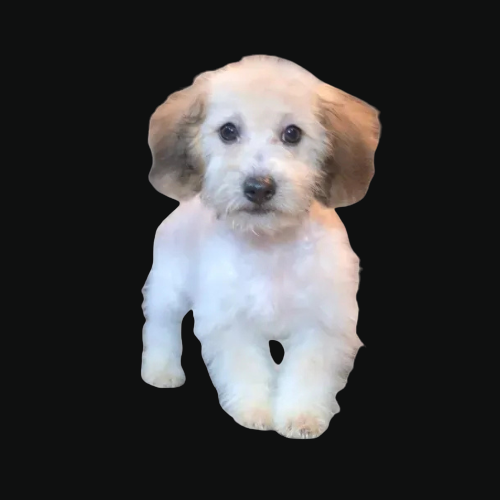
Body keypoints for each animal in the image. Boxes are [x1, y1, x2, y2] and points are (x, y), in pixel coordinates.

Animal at [141, 55, 380, 439]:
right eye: (228, 131)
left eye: (292, 133)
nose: (259, 187)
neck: (271, 247)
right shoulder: (231, 322)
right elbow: (247, 369)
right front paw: (254, 412)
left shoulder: (322, 325)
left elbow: (308, 373)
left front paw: (301, 416)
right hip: (168, 286)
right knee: (160, 326)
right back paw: (162, 371)